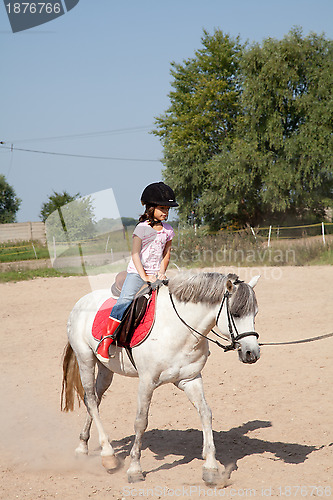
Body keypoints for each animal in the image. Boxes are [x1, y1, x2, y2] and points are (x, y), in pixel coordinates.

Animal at [61, 270, 260, 484]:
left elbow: (206, 414)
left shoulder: (190, 379)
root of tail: (82, 301)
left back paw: (82, 447)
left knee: (95, 400)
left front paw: (211, 467)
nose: (252, 353)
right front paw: (135, 469)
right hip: (85, 359)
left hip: (106, 369)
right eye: (236, 313)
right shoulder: (146, 382)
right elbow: (141, 422)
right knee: (90, 399)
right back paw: (108, 455)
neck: (178, 330)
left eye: (255, 314)